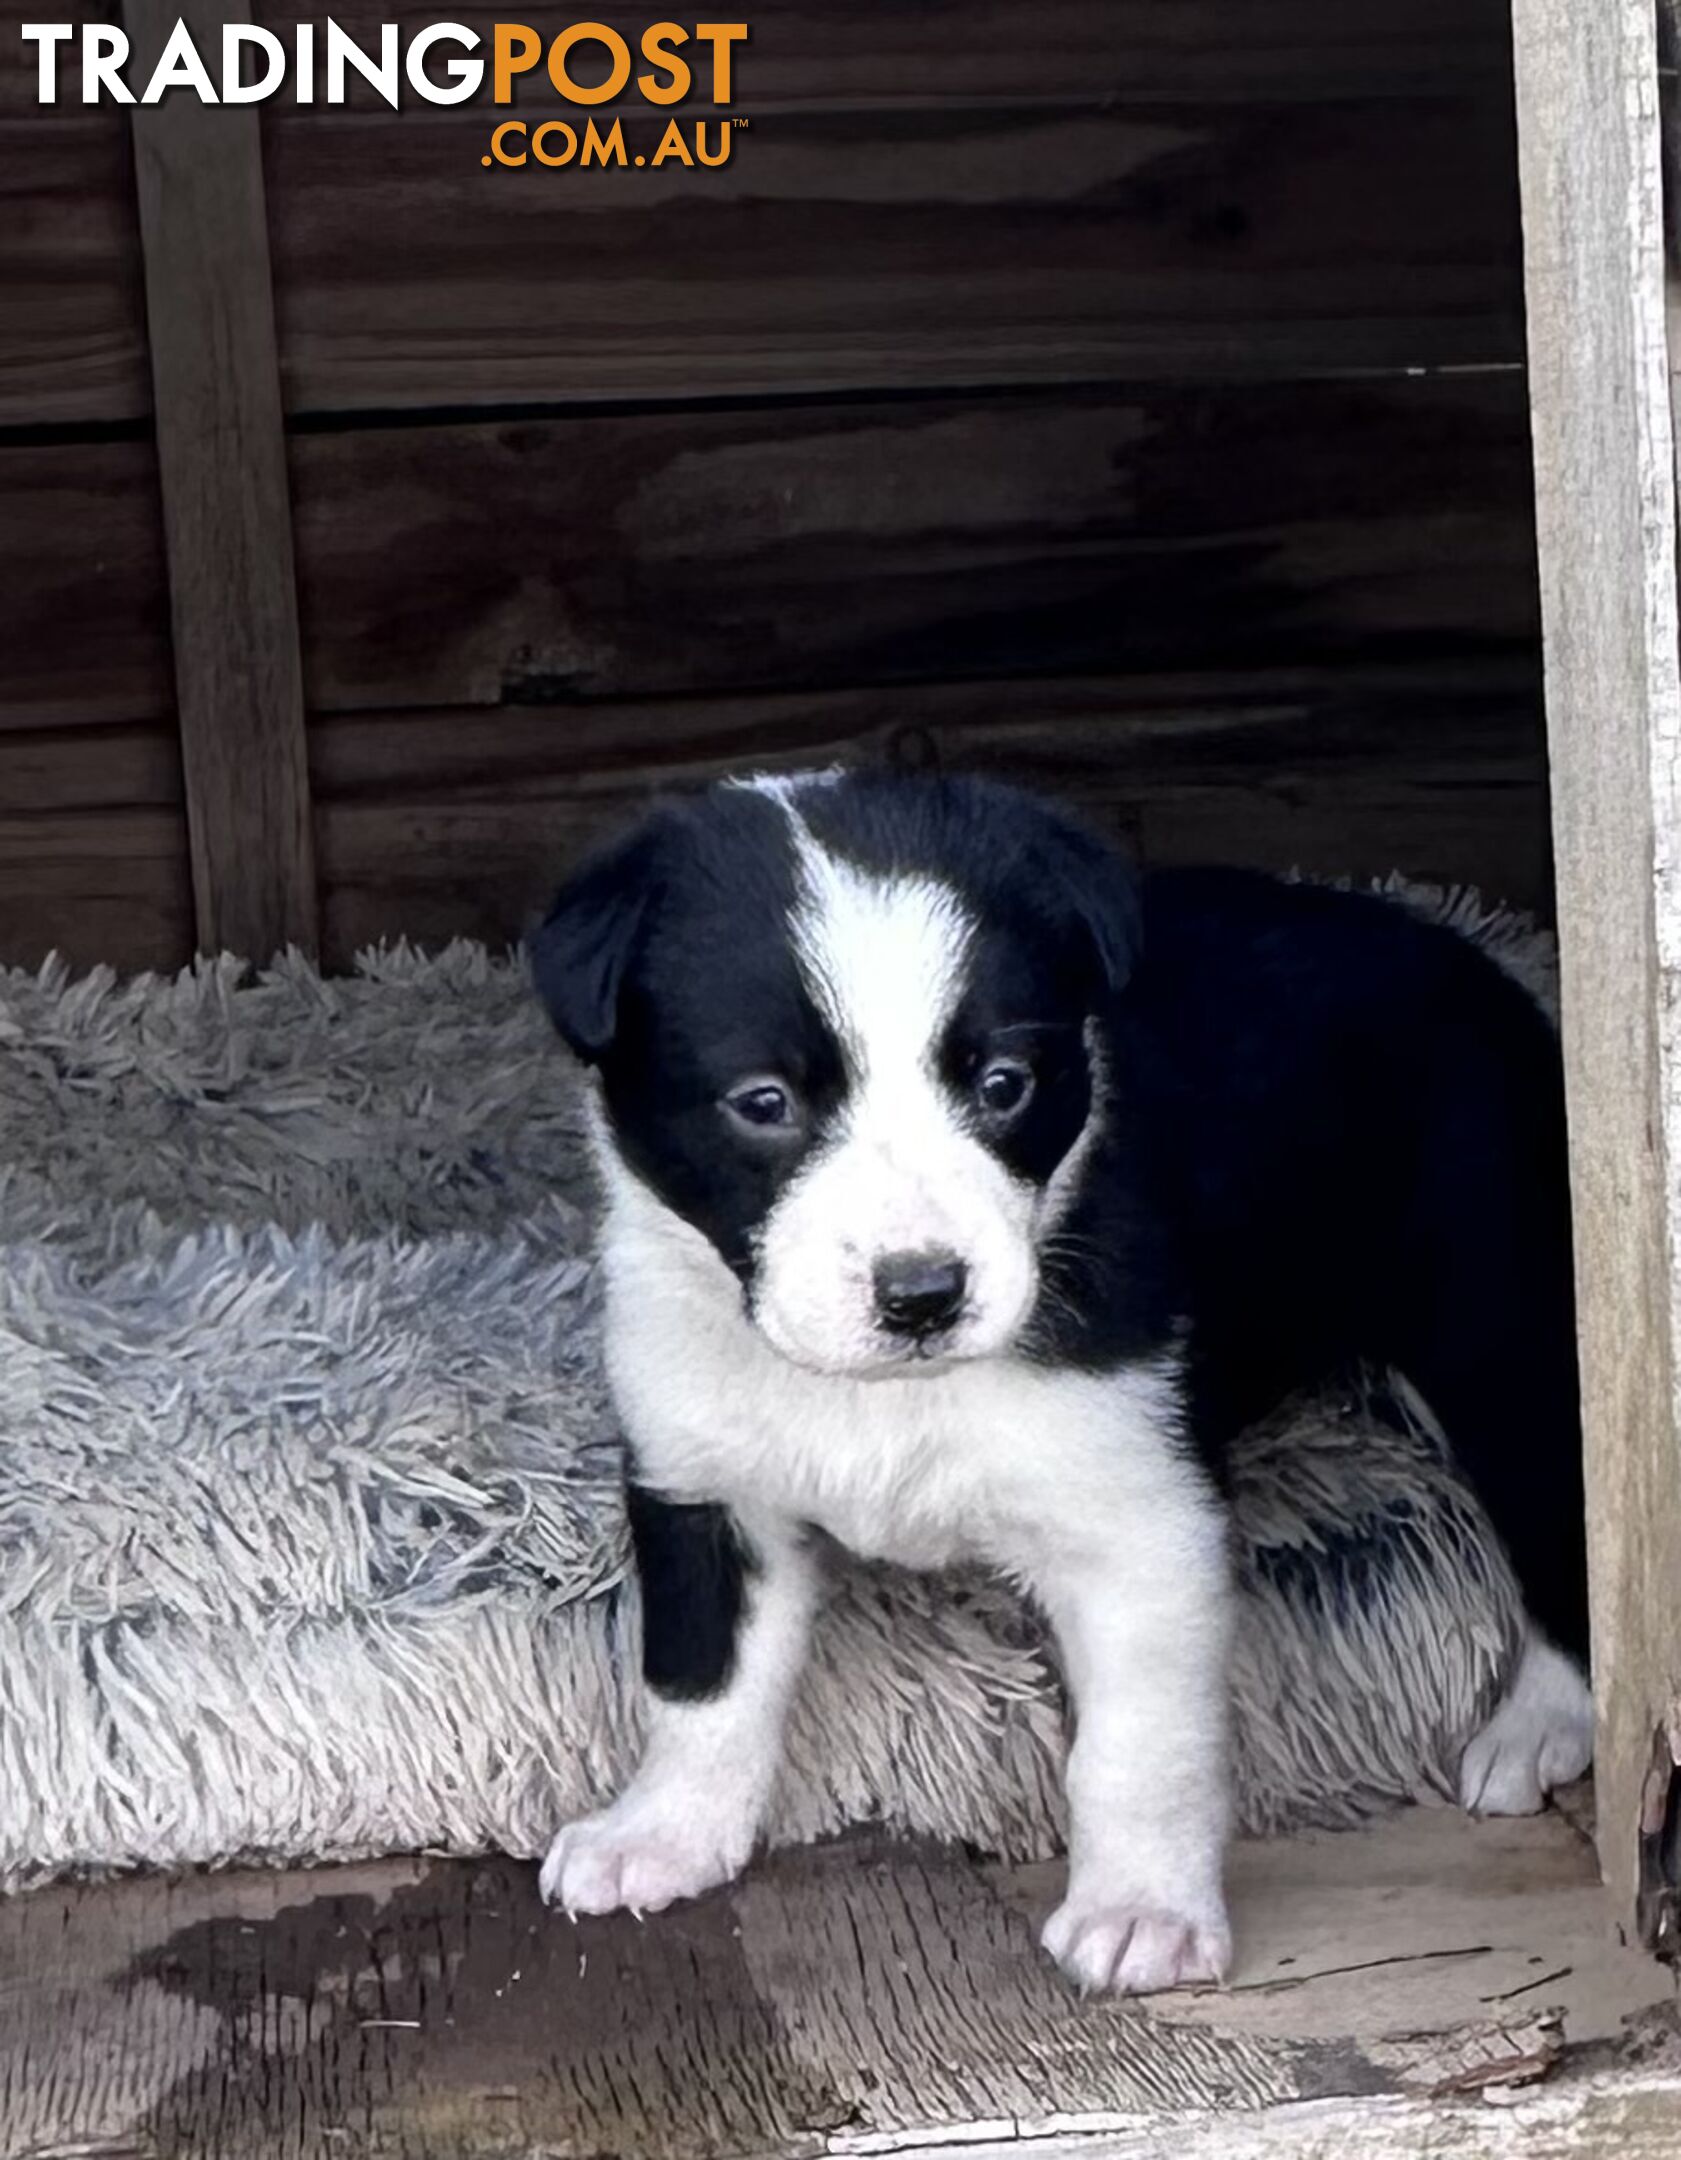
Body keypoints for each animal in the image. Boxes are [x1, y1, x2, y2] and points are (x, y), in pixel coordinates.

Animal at [531, 773, 1590, 1987]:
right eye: (762, 1102)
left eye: (1004, 1084)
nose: (923, 1293)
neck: (887, 1392)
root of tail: (1468, 957)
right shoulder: (702, 1482)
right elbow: (700, 1683)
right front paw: (661, 1834)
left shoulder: (1137, 1521)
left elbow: (1138, 1748)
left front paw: (1143, 1912)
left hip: (1496, 1331)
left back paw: (1543, 1725)